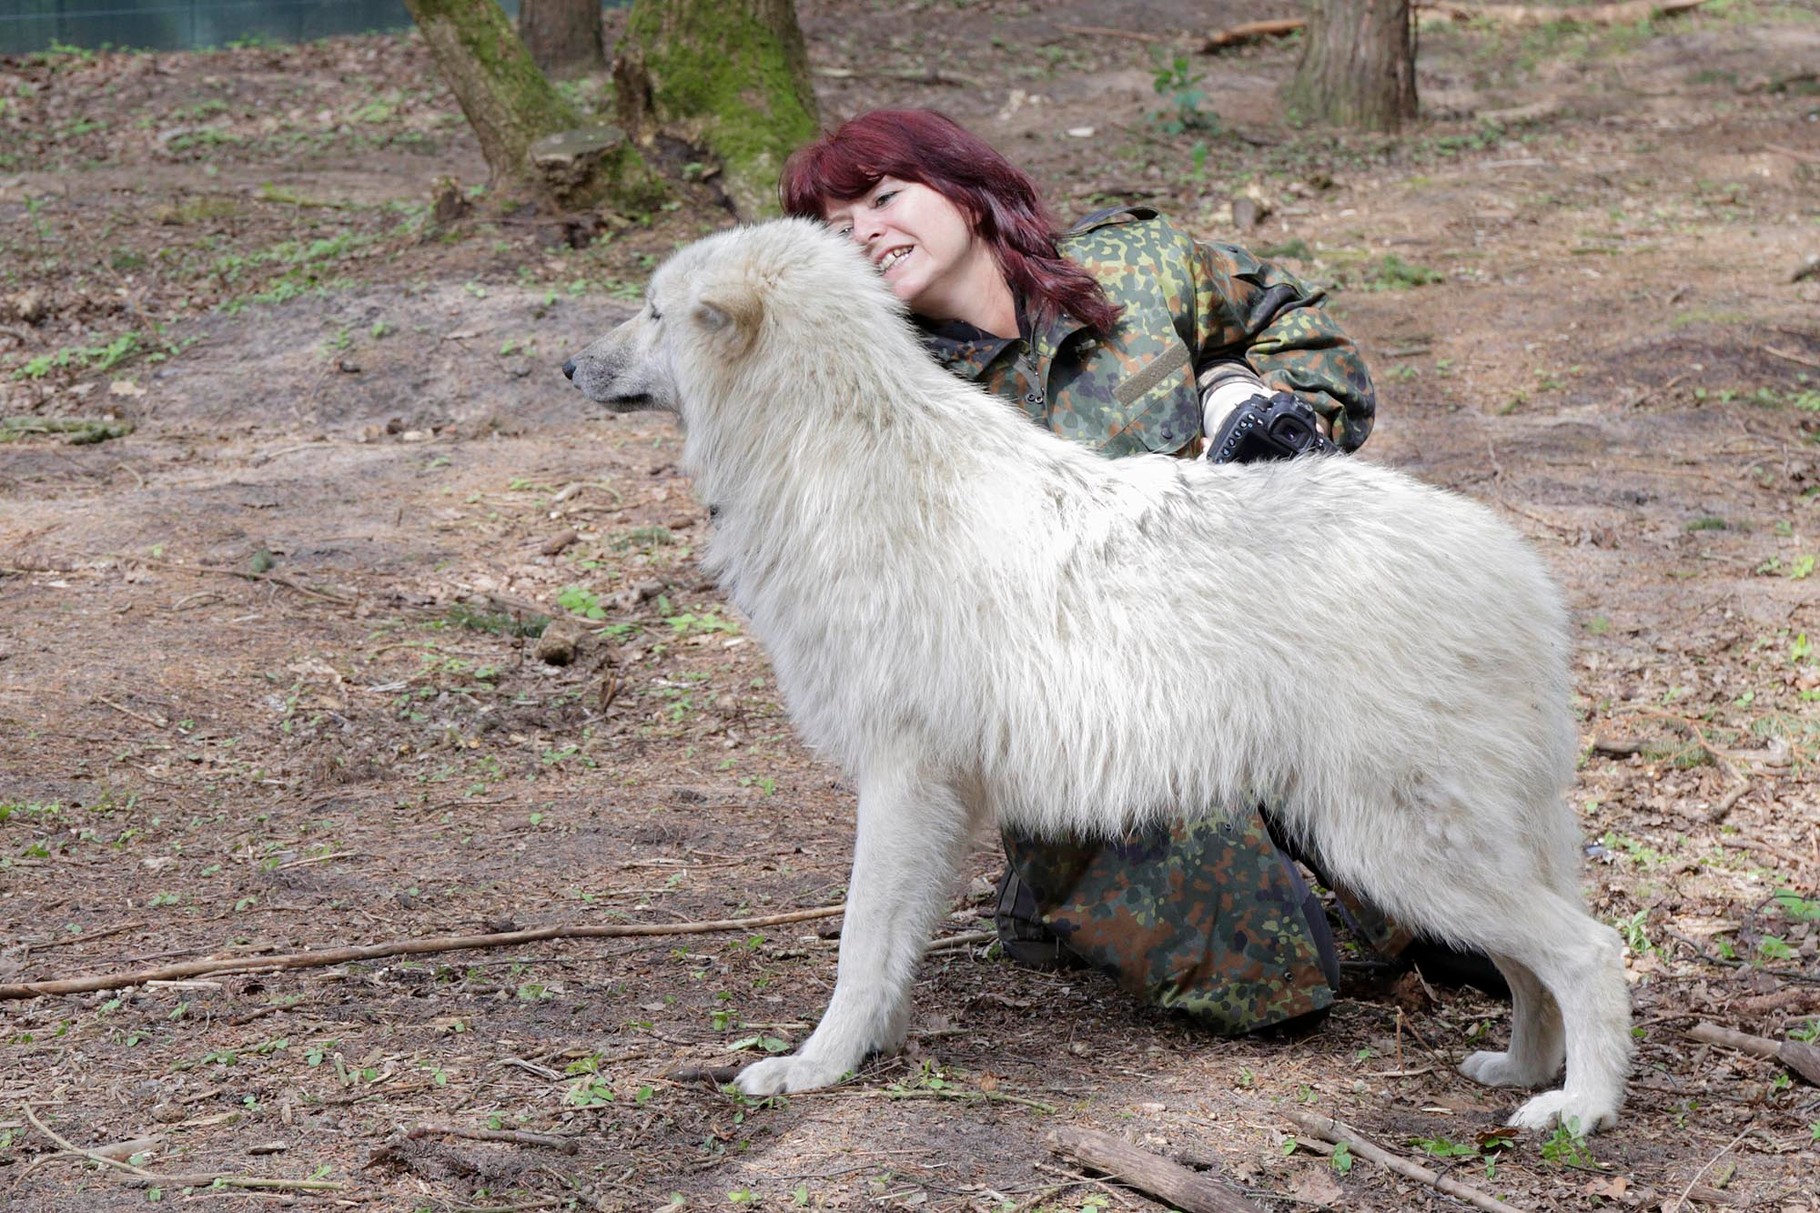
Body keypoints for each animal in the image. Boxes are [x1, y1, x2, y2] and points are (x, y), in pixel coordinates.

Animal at [556, 214, 1638, 1121]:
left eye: (652, 311)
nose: (565, 362)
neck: (835, 452)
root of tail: (1518, 571)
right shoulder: (939, 791)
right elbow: (894, 944)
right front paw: (874, 1047)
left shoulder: (899, 776)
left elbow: (859, 944)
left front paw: (814, 1065)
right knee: (1538, 964)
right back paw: (1520, 1069)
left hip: (1391, 847)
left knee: (1589, 952)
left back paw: (1576, 1110)